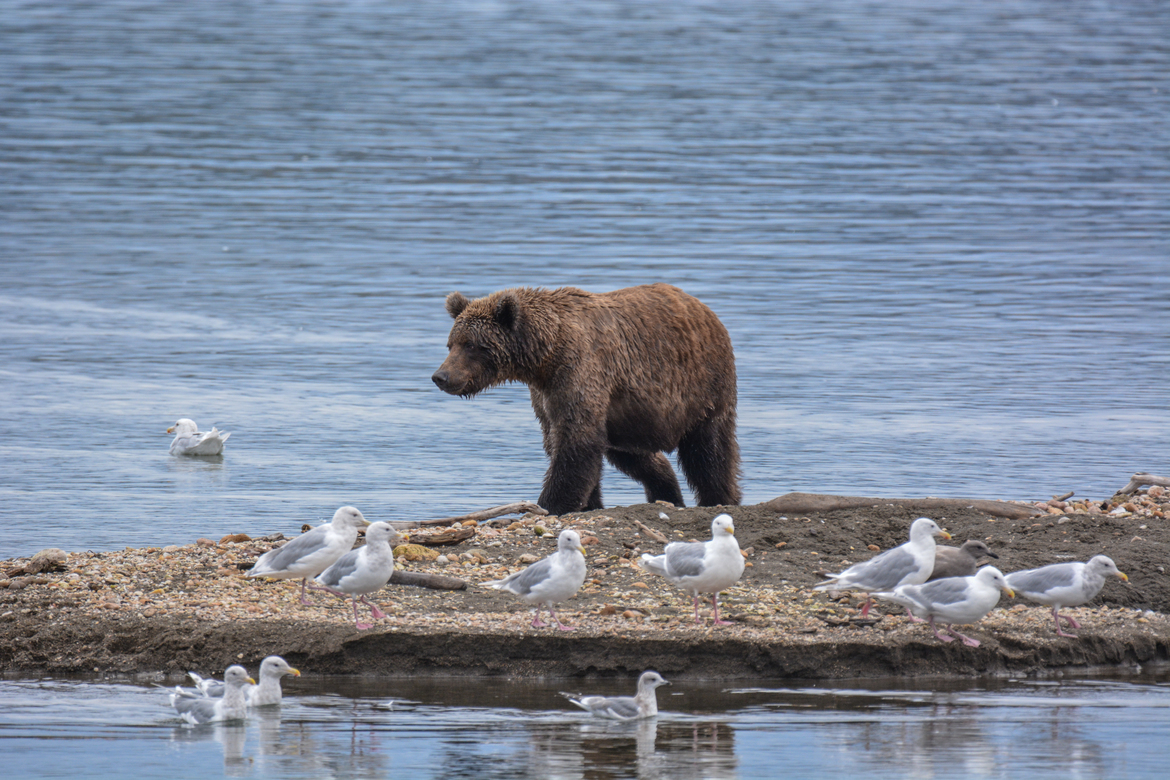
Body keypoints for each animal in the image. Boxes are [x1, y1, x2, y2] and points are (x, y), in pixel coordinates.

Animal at [431, 283, 741, 515]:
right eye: (451, 344)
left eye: (471, 345)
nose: (441, 376)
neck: (544, 356)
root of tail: (704, 308)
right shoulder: (547, 394)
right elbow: (561, 440)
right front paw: (589, 503)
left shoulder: (579, 370)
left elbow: (575, 440)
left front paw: (550, 504)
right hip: (630, 414)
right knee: (635, 455)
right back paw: (667, 495)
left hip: (704, 387)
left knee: (709, 451)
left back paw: (721, 498)